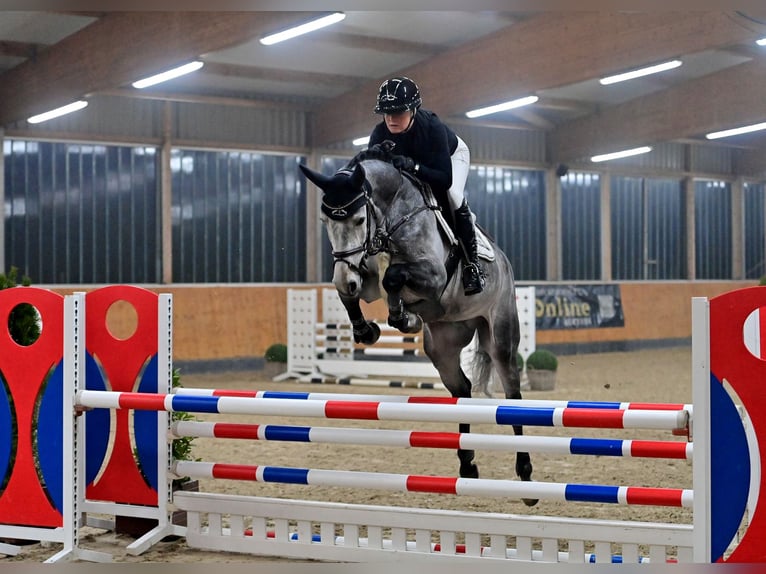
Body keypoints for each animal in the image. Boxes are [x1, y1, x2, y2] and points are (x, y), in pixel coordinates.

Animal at [300, 152, 540, 504]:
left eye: (358, 220)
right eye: (325, 222)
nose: (347, 277)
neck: (390, 216)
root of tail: (506, 264)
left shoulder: (433, 275)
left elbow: (393, 276)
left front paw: (403, 316)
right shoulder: (362, 273)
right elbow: (353, 291)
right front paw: (369, 329)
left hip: (500, 335)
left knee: (512, 396)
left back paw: (525, 476)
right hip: (442, 344)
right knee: (462, 389)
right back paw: (467, 465)